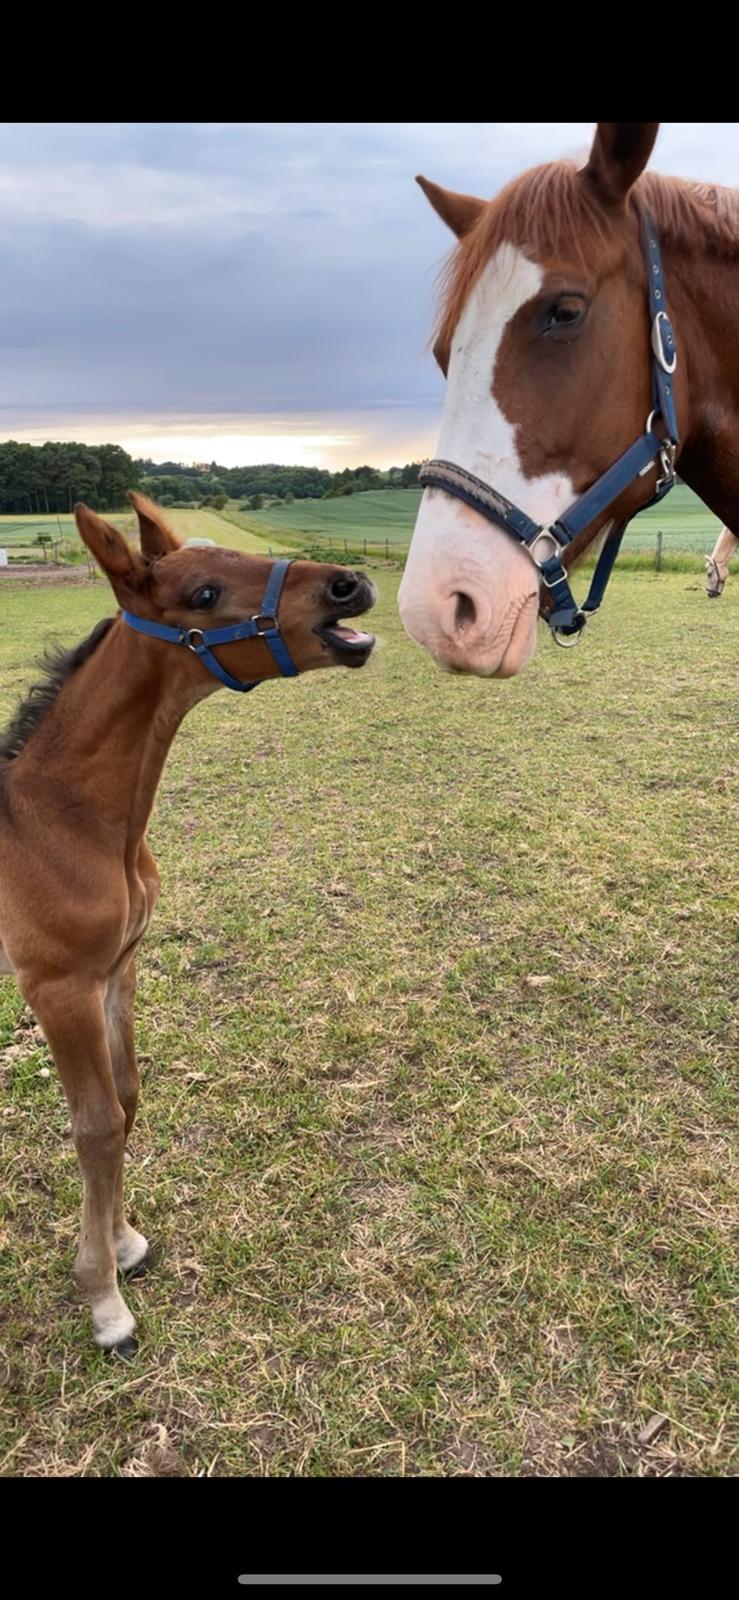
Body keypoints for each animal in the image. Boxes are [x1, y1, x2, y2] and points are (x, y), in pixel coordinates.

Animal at [0, 496, 375, 1350]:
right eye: (203, 593)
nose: (351, 585)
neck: (61, 820)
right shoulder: (56, 987)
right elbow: (95, 1125)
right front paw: (103, 1299)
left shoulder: (117, 970)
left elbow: (127, 1100)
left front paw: (124, 1244)